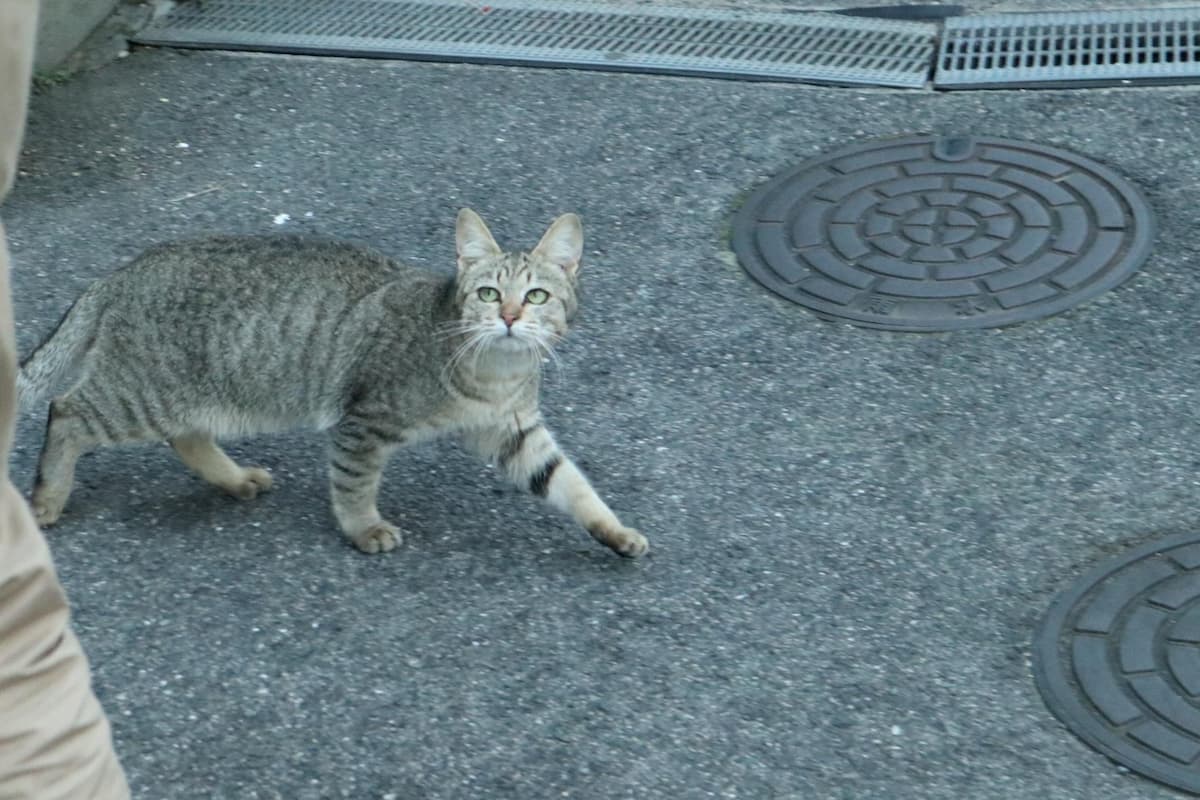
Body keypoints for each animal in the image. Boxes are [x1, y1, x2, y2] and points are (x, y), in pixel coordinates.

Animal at [16, 208, 648, 556]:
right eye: (489, 293)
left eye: (536, 295)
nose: (511, 317)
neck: (497, 372)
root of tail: (121, 272)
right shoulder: (364, 423)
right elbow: (354, 484)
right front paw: (363, 528)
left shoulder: (516, 433)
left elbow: (572, 485)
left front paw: (613, 530)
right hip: (141, 396)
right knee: (65, 410)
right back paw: (47, 498)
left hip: (195, 399)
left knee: (186, 437)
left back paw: (234, 479)